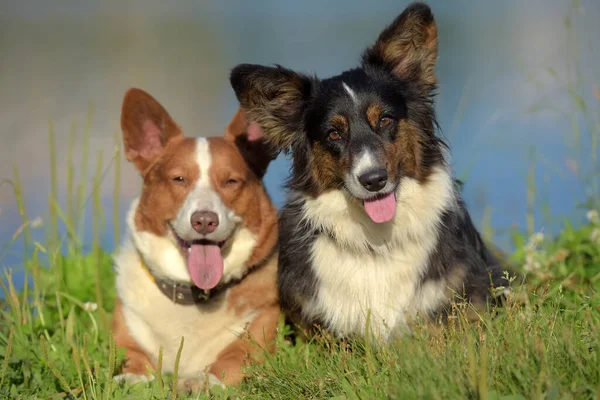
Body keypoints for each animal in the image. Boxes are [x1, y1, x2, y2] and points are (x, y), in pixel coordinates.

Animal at [111, 89, 280, 392]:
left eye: (231, 181)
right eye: (179, 179)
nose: (204, 221)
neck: (193, 296)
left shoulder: (257, 335)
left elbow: (231, 359)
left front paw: (200, 381)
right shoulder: (128, 330)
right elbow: (132, 356)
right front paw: (133, 377)